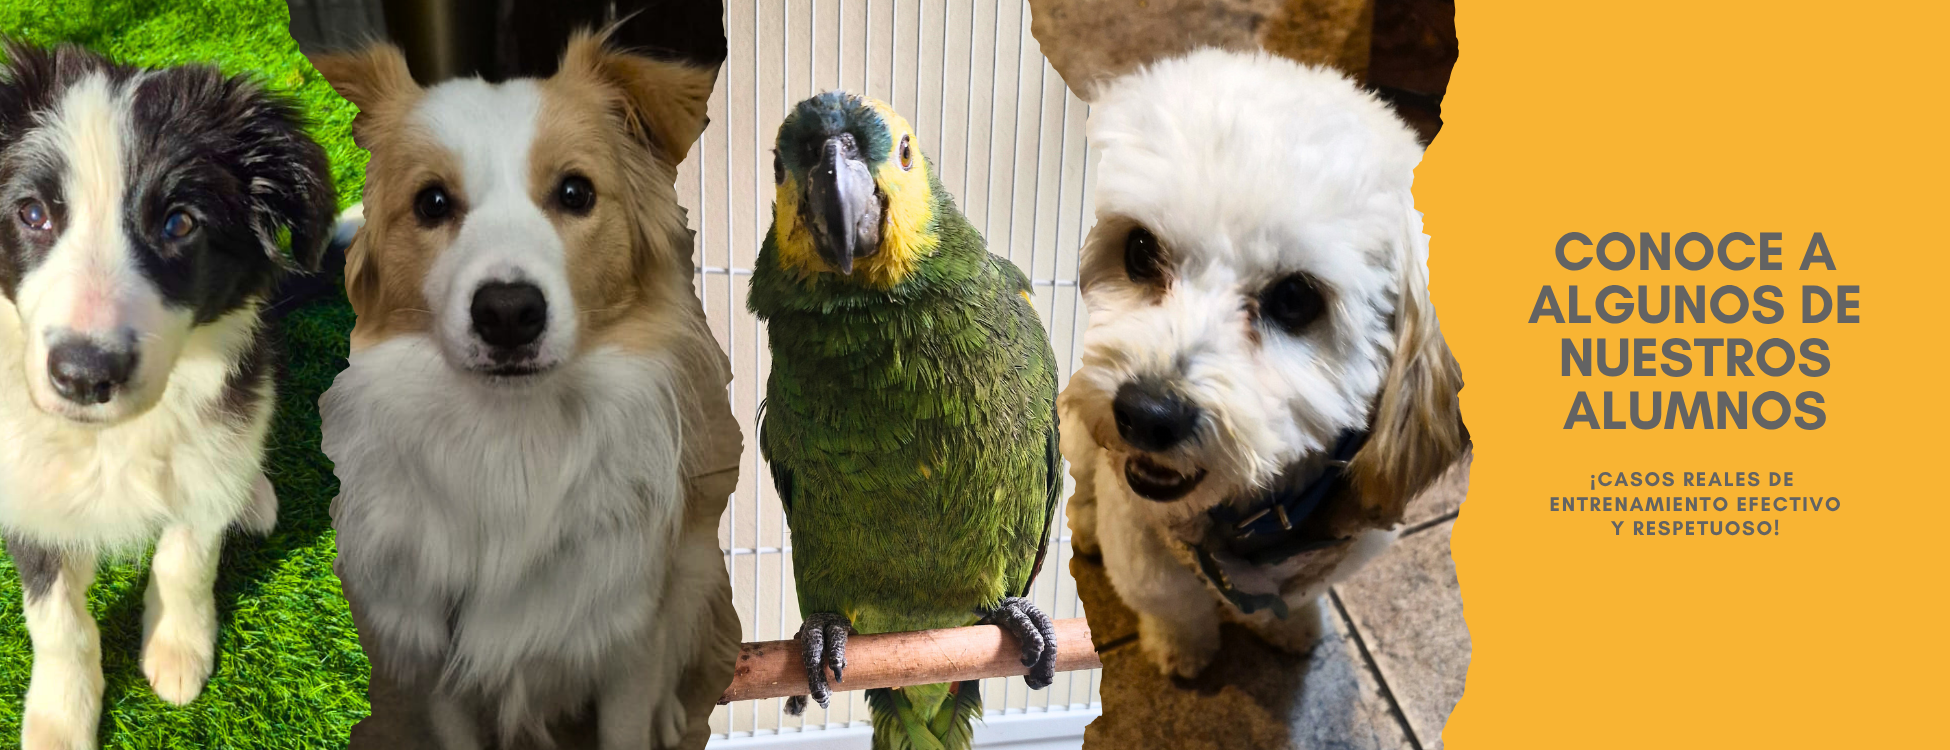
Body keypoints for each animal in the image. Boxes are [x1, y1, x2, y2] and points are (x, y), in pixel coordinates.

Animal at [0, 41, 334, 749]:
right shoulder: (23, 484)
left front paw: (178, 649)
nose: (84, 376)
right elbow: (56, 617)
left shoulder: (211, 437)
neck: (111, 438)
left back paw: (251, 494)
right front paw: (60, 717)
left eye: (179, 223)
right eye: (33, 213)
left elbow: (186, 558)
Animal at [313, 29, 743, 750]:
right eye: (432, 202)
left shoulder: (626, 641)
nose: (509, 312)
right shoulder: (440, 669)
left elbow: (635, 703)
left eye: (575, 192)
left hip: (693, 564)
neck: (512, 441)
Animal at [1058, 48, 1466, 678]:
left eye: (1296, 299)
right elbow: (1170, 598)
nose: (1147, 414)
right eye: (1140, 250)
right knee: (1077, 481)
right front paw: (1182, 647)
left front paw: (1290, 627)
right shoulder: (1138, 531)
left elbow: (1293, 599)